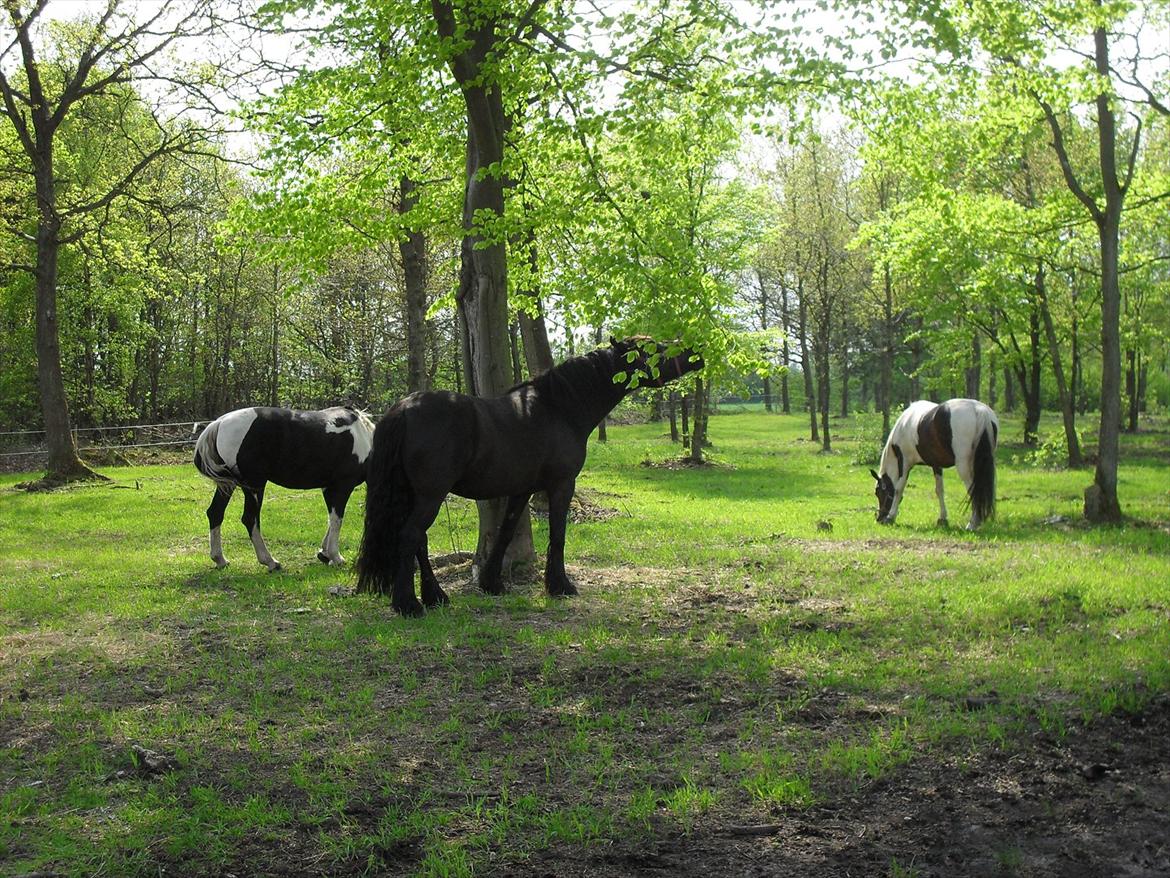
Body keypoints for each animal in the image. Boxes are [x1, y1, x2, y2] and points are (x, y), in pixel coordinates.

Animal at [193, 409, 374, 573]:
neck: (363, 437)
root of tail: (219, 423)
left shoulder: (328, 488)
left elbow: (331, 519)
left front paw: (325, 553)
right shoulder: (342, 486)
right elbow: (337, 520)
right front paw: (335, 557)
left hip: (228, 485)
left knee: (215, 513)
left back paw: (220, 559)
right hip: (254, 485)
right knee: (250, 519)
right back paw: (270, 561)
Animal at [355, 337, 702, 618]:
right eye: (654, 348)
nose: (696, 353)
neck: (559, 408)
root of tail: (403, 408)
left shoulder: (522, 490)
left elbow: (506, 533)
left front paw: (492, 583)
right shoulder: (561, 485)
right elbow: (558, 534)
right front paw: (560, 585)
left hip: (416, 494)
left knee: (419, 541)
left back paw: (435, 597)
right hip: (431, 494)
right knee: (410, 536)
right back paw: (408, 604)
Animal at [870, 400, 996, 536]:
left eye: (878, 492)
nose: (879, 518)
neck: (904, 425)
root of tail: (979, 411)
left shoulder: (905, 462)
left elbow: (899, 489)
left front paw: (891, 517)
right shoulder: (936, 465)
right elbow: (939, 490)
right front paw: (942, 519)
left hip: (963, 466)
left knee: (974, 491)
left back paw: (972, 524)